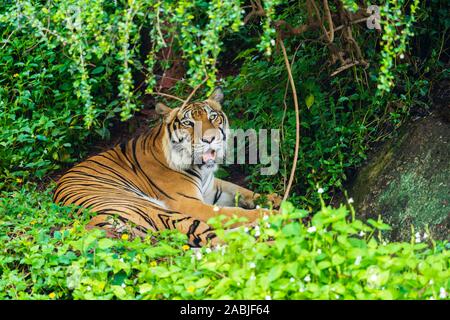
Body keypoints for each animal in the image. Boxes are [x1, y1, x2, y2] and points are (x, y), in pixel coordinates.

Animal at [53, 87, 282, 248]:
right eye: (188, 123)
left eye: (213, 117)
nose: (210, 139)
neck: (201, 168)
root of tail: (96, 221)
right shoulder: (189, 202)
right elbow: (233, 212)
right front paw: (272, 210)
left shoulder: (212, 188)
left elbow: (241, 190)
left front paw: (273, 199)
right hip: (154, 209)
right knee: (214, 235)